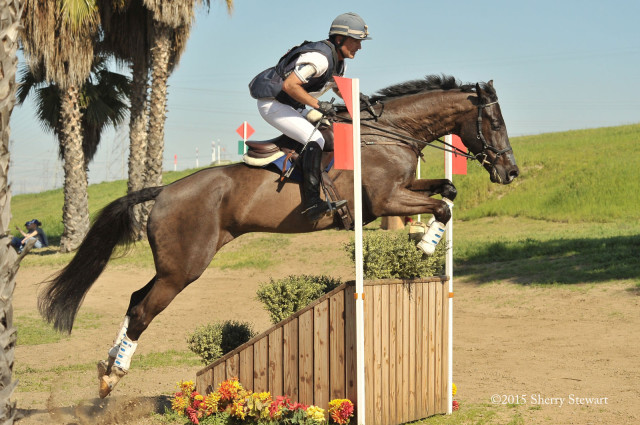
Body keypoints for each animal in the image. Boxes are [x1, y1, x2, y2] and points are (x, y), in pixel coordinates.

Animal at [37, 74, 520, 396]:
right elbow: (441, 205)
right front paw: (422, 245)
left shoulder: (402, 191)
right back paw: (113, 376)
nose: (510, 172)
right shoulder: (385, 202)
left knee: (137, 298)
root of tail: (166, 190)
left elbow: (447, 192)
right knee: (143, 310)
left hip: (176, 264)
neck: (389, 133)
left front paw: (426, 241)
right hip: (184, 268)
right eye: (495, 122)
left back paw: (106, 367)